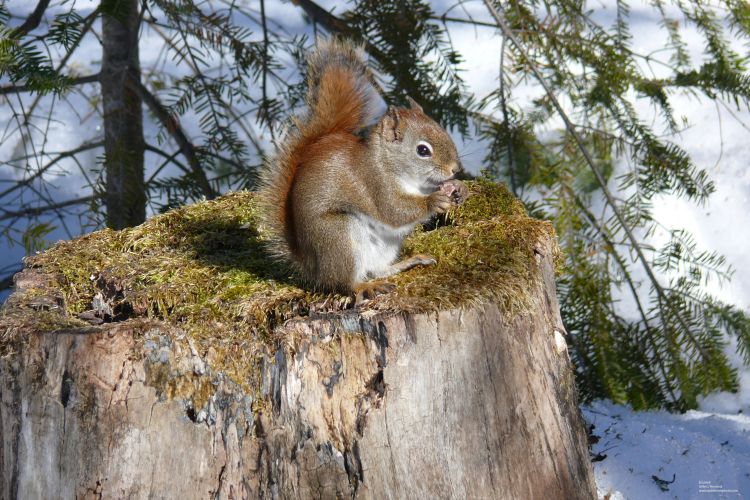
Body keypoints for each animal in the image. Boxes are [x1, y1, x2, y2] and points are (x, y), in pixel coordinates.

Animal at [262, 38, 468, 300]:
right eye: (423, 150)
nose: (455, 169)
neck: (388, 162)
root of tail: (312, 267)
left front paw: (459, 189)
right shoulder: (374, 182)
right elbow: (393, 210)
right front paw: (434, 201)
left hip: (386, 245)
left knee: (377, 269)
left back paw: (408, 262)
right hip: (339, 236)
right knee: (343, 283)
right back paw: (364, 287)